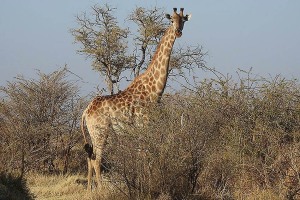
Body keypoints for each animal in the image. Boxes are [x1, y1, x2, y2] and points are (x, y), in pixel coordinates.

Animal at [81, 7, 191, 190]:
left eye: (183, 20)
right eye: (171, 20)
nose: (178, 32)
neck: (154, 90)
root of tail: (85, 112)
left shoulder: (143, 127)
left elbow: (142, 156)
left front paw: (142, 182)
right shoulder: (144, 124)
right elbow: (145, 155)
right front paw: (146, 184)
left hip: (93, 133)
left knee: (90, 158)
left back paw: (90, 190)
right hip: (101, 131)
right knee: (97, 160)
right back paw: (101, 190)